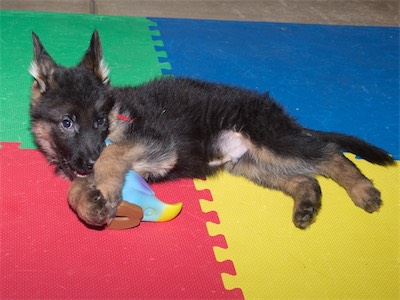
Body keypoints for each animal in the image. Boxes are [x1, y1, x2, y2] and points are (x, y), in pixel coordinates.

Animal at [29, 30, 396, 229]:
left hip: (272, 141)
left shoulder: (157, 145)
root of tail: (277, 112)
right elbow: (76, 188)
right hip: (252, 163)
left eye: (100, 121)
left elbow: (111, 155)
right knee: (305, 178)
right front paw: (89, 204)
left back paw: (362, 190)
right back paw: (306, 204)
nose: (89, 159)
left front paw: (104, 190)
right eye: (67, 123)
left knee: (330, 154)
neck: (119, 114)